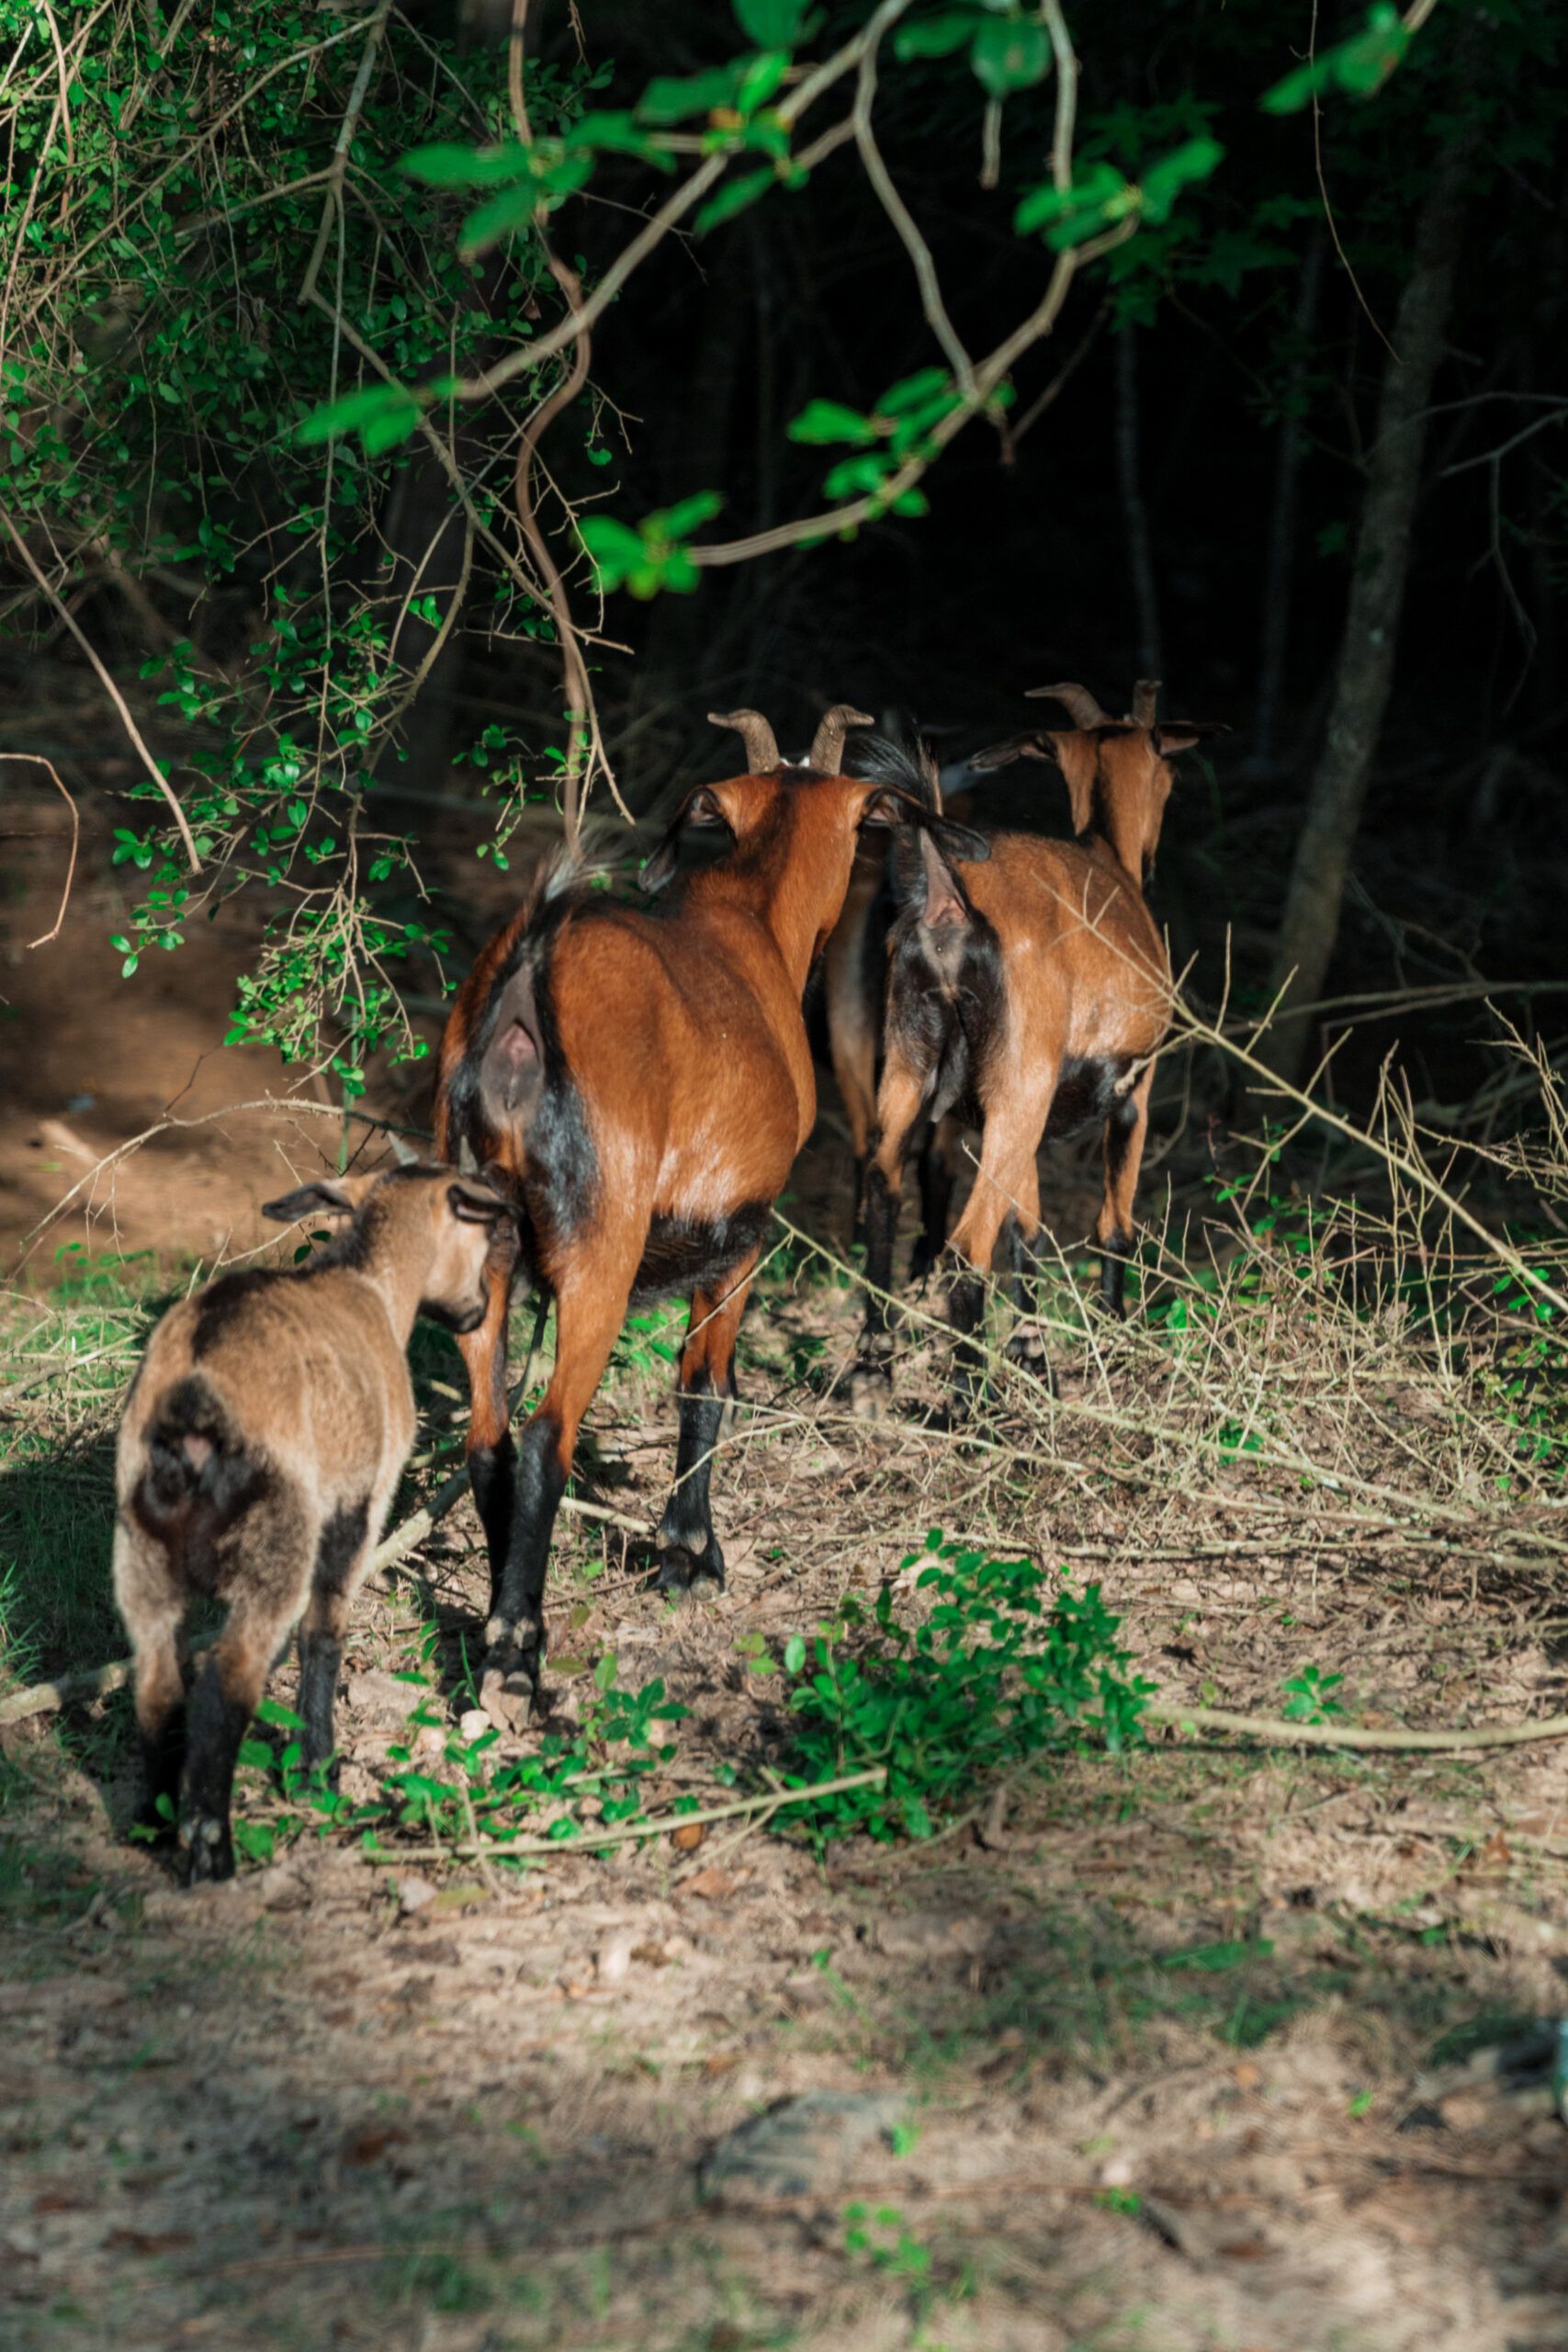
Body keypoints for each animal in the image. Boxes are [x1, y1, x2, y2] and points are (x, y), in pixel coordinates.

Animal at [112, 1163, 517, 1883]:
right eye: (480, 1236)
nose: (477, 1311)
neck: (373, 1286)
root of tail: (194, 1395)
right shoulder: (360, 1504)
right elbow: (323, 1634)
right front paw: (316, 1769)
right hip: (277, 1538)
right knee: (225, 1680)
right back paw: (212, 1848)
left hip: (141, 1548)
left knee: (157, 1683)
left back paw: (155, 1825)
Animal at [434, 705, 988, 1729]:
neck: (747, 918)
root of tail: (530, 973)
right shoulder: (739, 1231)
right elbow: (707, 1385)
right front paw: (691, 1556)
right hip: (600, 1255)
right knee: (540, 1440)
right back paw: (519, 1663)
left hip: (479, 1252)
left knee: (487, 1440)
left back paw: (497, 1632)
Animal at [854, 680, 1223, 1408]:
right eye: (1168, 775)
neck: (1109, 859)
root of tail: (947, 902)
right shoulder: (1131, 1092)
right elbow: (1113, 1227)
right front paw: (1114, 1342)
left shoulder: (1017, 1109)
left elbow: (1027, 1231)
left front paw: (1031, 1354)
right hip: (1019, 1081)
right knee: (965, 1247)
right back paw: (968, 1404)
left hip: (915, 1067)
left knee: (884, 1185)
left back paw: (873, 1363)